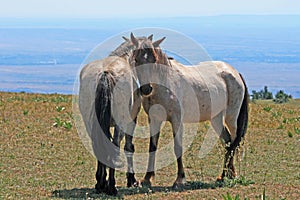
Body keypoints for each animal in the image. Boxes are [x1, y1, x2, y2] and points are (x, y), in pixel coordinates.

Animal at [78, 35, 154, 195]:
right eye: (140, 60)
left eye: (153, 58)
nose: (147, 88)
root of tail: (105, 72)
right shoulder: (131, 121)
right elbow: (128, 146)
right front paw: (131, 179)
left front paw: (102, 181)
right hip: (121, 123)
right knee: (115, 145)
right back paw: (111, 186)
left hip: (91, 122)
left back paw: (100, 183)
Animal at [129, 33, 248, 189]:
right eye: (136, 60)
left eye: (153, 59)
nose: (146, 89)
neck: (164, 83)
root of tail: (234, 72)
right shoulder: (154, 119)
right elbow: (152, 147)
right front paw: (147, 179)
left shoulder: (176, 119)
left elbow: (177, 147)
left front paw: (179, 180)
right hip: (216, 119)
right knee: (227, 142)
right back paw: (225, 175)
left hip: (231, 117)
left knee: (234, 141)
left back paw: (230, 175)